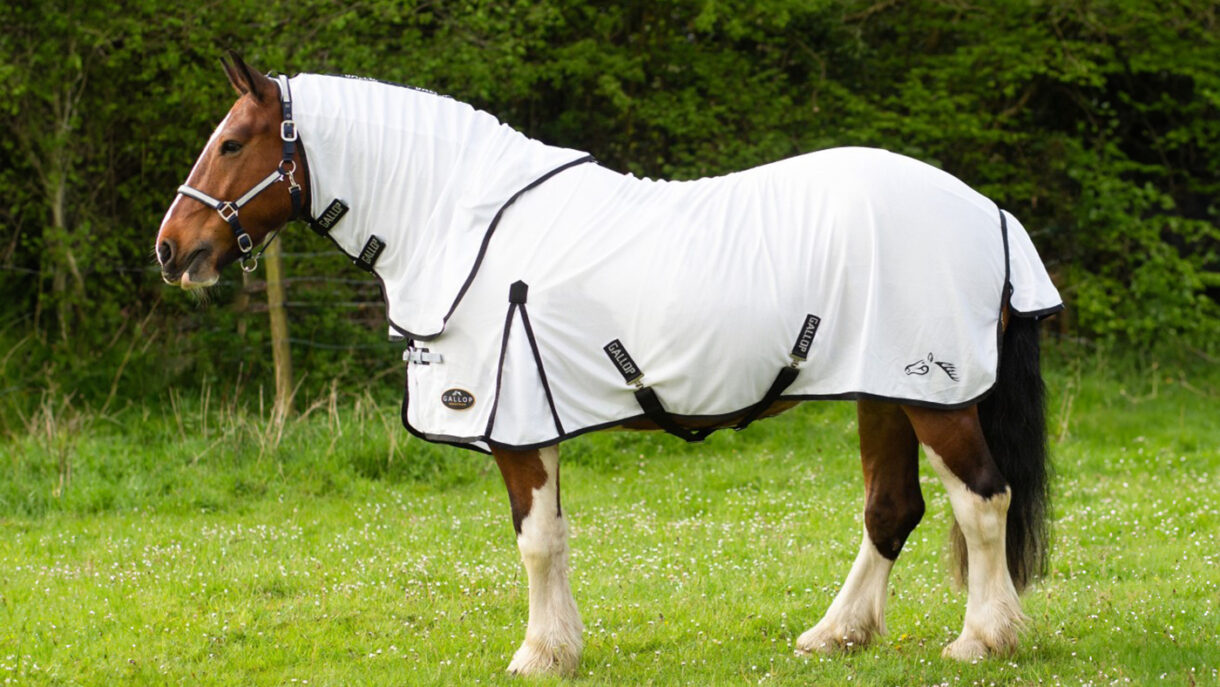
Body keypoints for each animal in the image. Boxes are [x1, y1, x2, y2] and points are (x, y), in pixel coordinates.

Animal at [156, 54, 1061, 677]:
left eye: (231, 143)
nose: (172, 250)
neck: (463, 224)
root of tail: (989, 212)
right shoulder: (536, 418)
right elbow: (553, 536)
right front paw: (560, 647)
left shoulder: (515, 423)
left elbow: (534, 542)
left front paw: (537, 654)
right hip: (883, 389)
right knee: (892, 508)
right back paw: (838, 632)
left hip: (936, 397)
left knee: (983, 501)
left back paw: (983, 637)